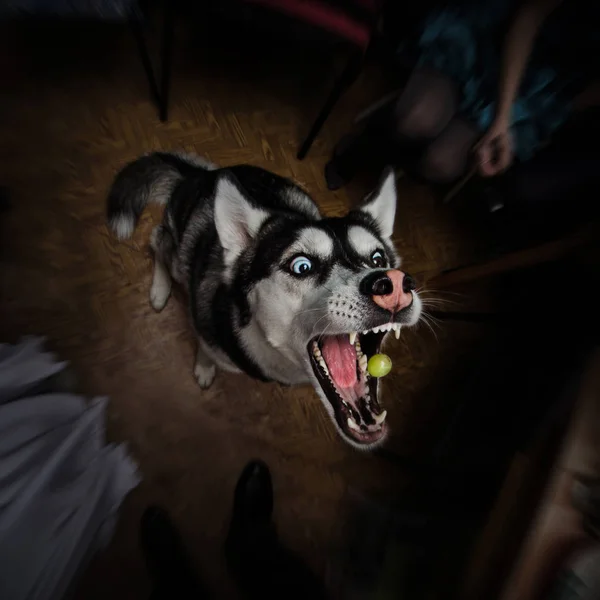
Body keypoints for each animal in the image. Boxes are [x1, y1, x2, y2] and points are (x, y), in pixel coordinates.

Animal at [106, 152, 422, 448]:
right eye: (302, 266)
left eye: (377, 258)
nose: (394, 282)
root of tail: (202, 174)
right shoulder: (206, 326)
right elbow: (206, 349)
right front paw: (204, 368)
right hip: (178, 253)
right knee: (158, 240)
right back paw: (160, 289)